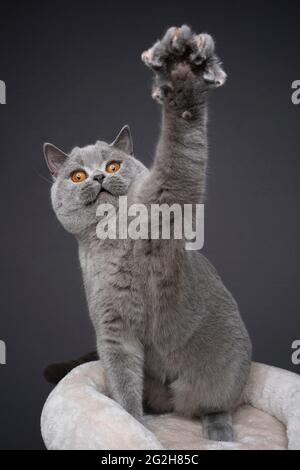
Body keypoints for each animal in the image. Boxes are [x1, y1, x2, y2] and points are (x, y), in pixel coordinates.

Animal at [44, 26, 251, 444]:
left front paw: (183, 74)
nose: (98, 177)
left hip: (221, 372)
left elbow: (181, 152)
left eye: (112, 164)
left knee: (214, 404)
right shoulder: (113, 332)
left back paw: (219, 433)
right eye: (77, 175)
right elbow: (124, 384)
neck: (111, 239)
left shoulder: (169, 196)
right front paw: (134, 425)